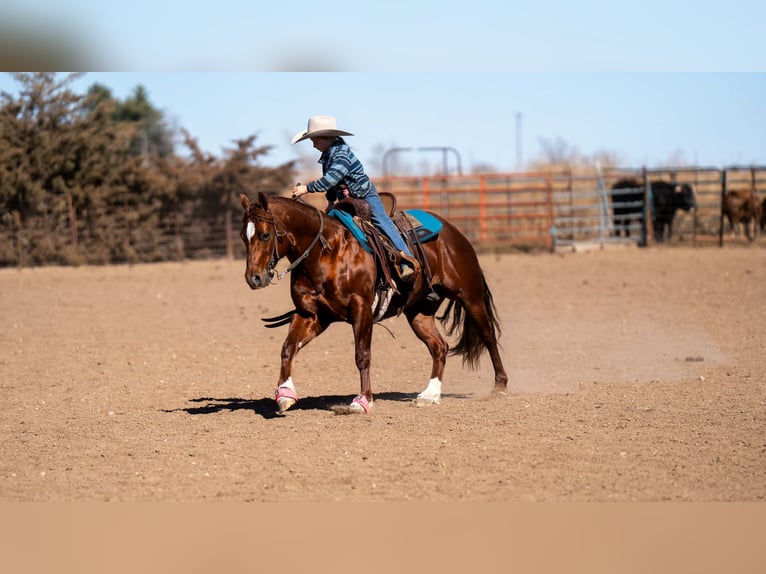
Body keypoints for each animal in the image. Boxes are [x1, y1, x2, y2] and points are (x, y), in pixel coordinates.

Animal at [239, 191, 508, 414]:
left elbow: (362, 355)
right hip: (419, 312)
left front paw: (363, 401)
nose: (254, 278)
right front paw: (285, 394)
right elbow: (288, 348)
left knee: (487, 335)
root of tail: (454, 233)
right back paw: (430, 395)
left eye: (265, 234)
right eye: (244, 236)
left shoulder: (361, 310)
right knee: (439, 347)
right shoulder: (312, 315)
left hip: (471, 297)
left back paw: (500, 386)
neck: (326, 252)